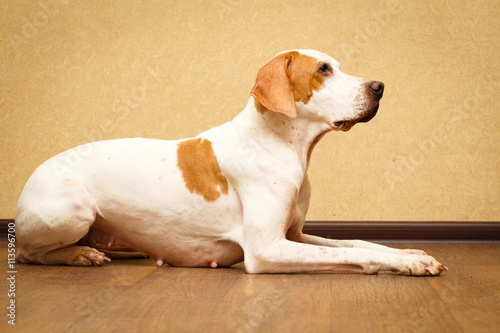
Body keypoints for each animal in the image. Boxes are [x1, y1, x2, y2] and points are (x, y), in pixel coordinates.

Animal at [15, 49, 448, 274]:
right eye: (323, 69)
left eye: (338, 66)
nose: (379, 87)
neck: (282, 147)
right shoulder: (267, 250)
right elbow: (349, 253)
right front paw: (406, 265)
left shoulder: (293, 236)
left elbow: (357, 240)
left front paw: (411, 254)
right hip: (75, 208)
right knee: (29, 254)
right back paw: (78, 255)